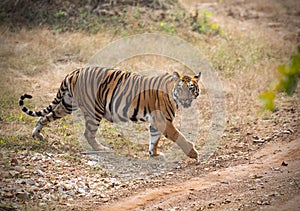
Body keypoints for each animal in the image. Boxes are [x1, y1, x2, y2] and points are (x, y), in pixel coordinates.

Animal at [18, 67, 202, 159]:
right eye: (181, 88)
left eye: (191, 88)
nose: (185, 99)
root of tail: (74, 72)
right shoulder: (162, 120)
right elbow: (179, 136)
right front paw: (193, 153)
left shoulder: (156, 122)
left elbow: (154, 139)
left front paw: (154, 153)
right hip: (94, 110)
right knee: (88, 133)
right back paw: (102, 148)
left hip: (67, 104)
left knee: (45, 116)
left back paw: (37, 135)